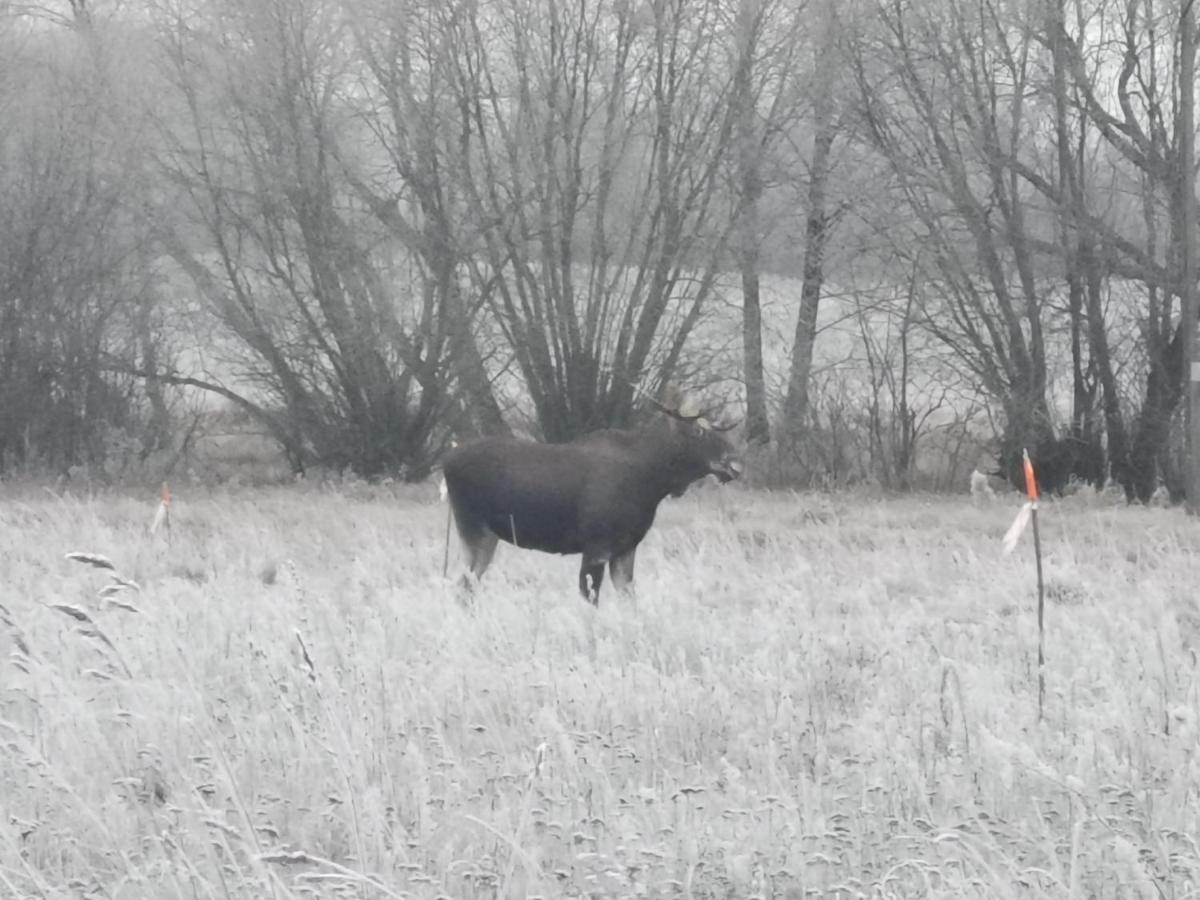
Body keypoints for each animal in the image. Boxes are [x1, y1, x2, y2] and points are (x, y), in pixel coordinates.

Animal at [441, 393, 739, 607]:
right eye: (699, 432)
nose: (734, 464)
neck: (652, 480)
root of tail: (445, 462)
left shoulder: (624, 549)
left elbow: (628, 599)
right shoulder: (597, 547)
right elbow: (591, 599)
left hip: (486, 536)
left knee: (466, 587)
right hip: (473, 530)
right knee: (463, 586)